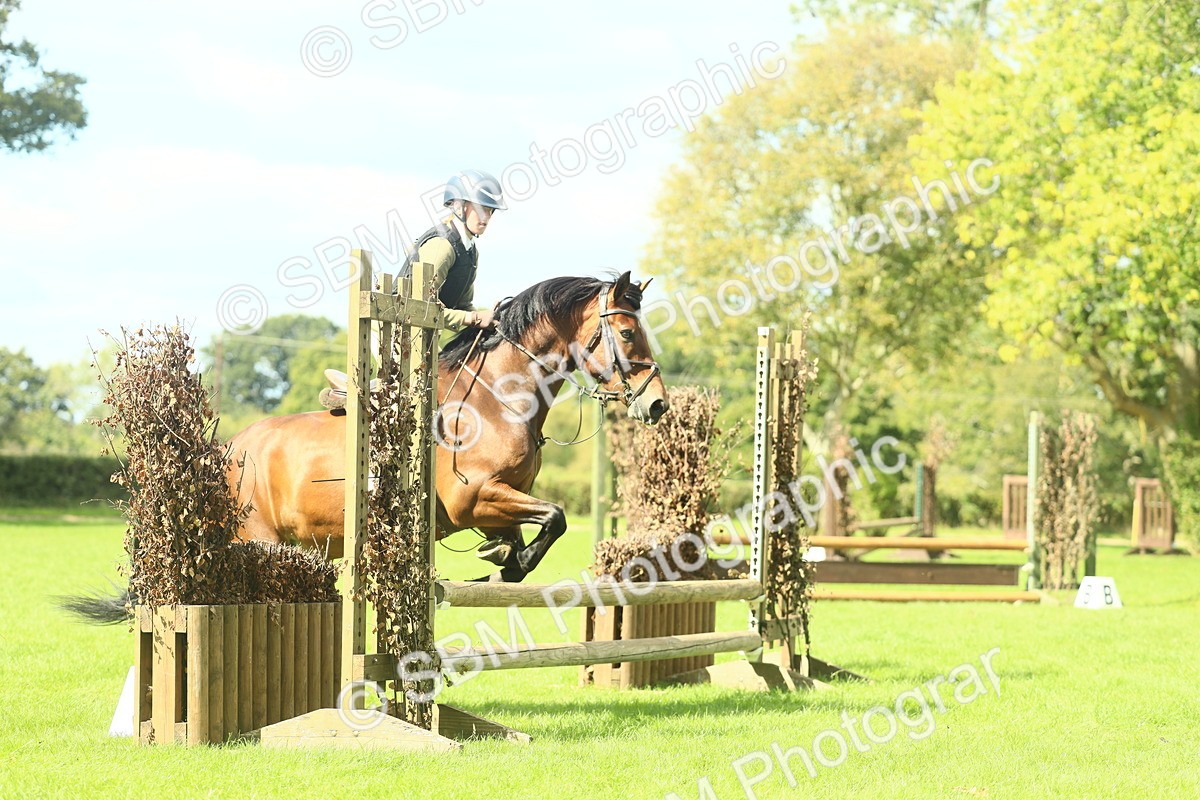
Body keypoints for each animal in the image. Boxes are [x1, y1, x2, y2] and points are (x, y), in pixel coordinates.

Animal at [225, 271, 668, 582]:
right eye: (627, 333)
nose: (657, 403)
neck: (497, 400)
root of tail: (225, 449)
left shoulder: (505, 499)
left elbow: (536, 526)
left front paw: (503, 556)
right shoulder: (471, 498)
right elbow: (555, 516)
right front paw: (508, 564)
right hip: (256, 539)